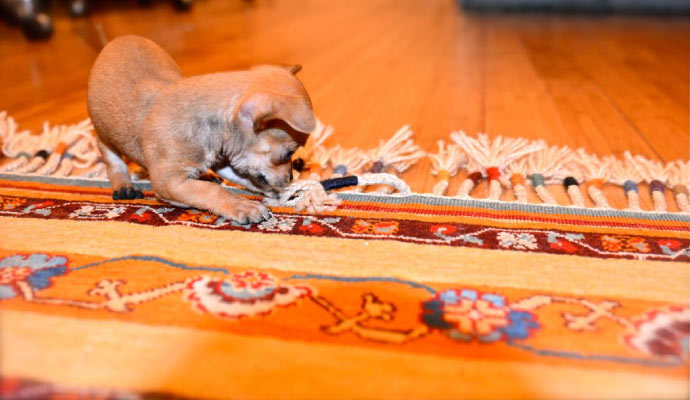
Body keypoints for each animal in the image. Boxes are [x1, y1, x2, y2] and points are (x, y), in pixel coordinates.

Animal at [86, 35, 314, 223]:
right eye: (289, 153)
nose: (290, 178)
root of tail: (118, 39)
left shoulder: (226, 162)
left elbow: (245, 179)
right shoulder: (170, 182)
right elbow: (210, 191)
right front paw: (242, 205)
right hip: (105, 134)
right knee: (111, 158)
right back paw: (123, 185)